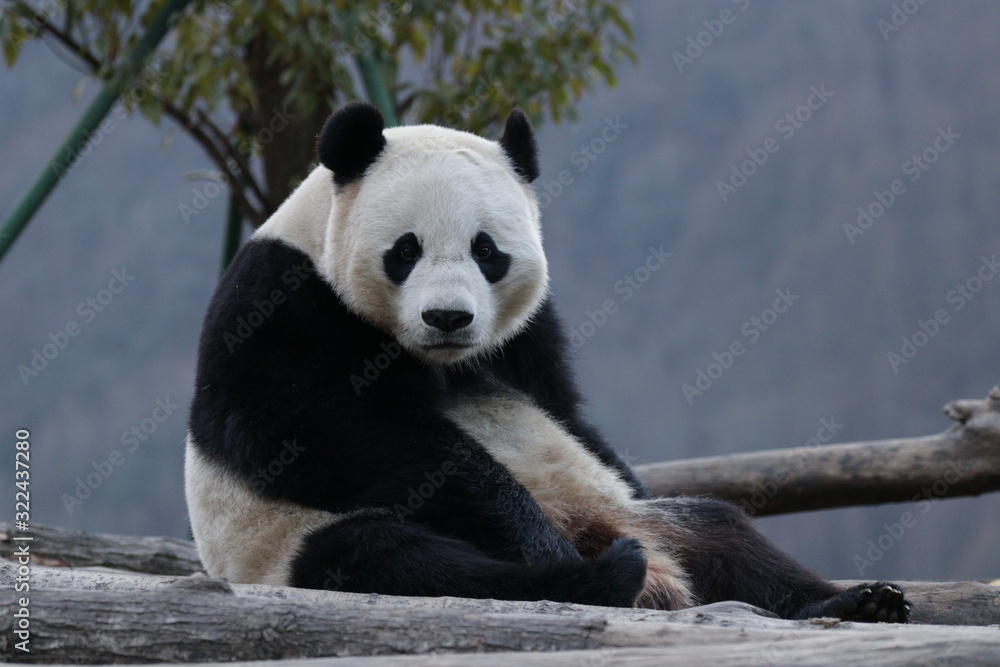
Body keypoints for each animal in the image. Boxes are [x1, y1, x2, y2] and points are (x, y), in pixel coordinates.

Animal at [185, 102, 910, 622]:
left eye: (486, 250)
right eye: (405, 250)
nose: (448, 318)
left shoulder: (526, 336)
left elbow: (563, 408)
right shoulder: (280, 302)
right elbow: (326, 429)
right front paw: (532, 539)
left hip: (638, 511)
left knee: (721, 530)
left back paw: (850, 601)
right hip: (284, 543)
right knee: (392, 557)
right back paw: (598, 576)